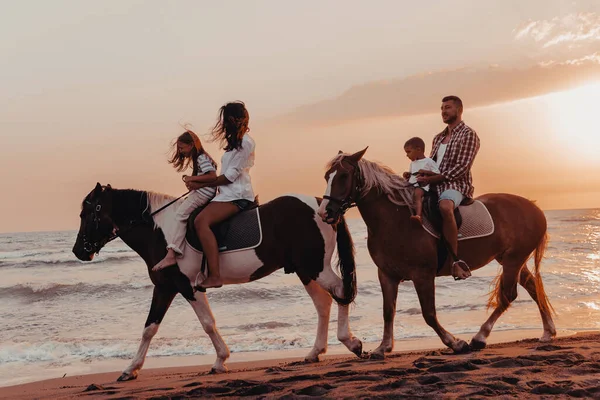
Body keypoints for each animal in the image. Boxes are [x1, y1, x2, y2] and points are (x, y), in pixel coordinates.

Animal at [70, 184, 360, 382]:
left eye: (87, 213)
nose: (78, 251)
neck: (163, 232)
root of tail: (322, 205)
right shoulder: (165, 287)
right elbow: (149, 328)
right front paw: (131, 369)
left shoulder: (187, 286)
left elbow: (208, 323)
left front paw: (221, 360)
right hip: (305, 270)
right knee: (324, 303)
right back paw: (315, 352)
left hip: (316, 267)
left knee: (340, 292)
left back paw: (350, 342)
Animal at [316, 150, 556, 356]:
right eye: (327, 176)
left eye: (344, 176)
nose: (325, 212)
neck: (395, 219)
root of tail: (535, 208)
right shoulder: (387, 275)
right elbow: (388, 311)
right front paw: (383, 347)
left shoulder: (422, 275)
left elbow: (429, 314)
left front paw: (455, 343)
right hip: (510, 259)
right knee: (532, 287)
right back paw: (548, 332)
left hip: (513, 260)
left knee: (508, 295)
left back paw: (479, 337)